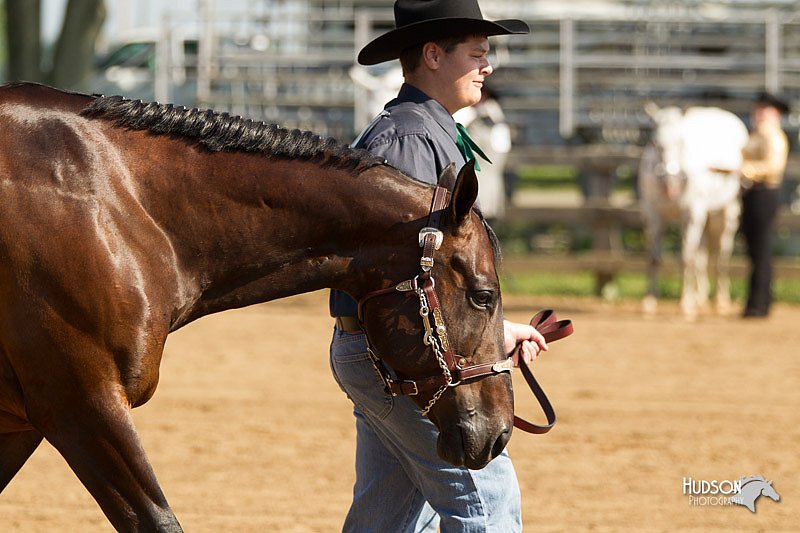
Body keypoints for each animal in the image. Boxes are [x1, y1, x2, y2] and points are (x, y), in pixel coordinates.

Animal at [636, 106, 752, 318]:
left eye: (681, 141)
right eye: (654, 142)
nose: (670, 179)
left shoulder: (690, 215)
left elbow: (685, 258)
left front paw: (685, 303)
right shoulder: (653, 215)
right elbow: (654, 259)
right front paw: (649, 302)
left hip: (724, 216)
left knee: (721, 256)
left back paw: (721, 301)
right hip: (703, 220)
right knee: (702, 256)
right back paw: (701, 298)